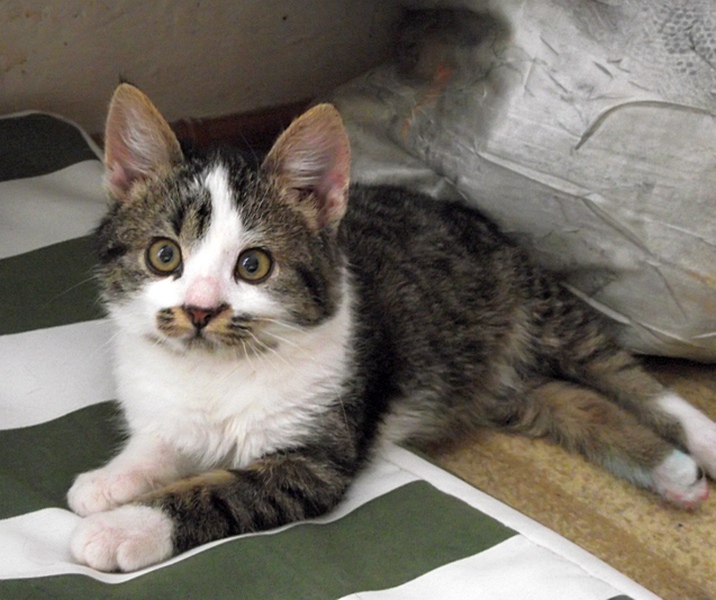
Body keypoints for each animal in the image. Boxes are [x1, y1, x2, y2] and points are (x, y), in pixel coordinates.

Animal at [68, 83, 716, 572]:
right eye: (164, 256)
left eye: (253, 266)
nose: (201, 310)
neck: (216, 368)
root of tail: (476, 218)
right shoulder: (170, 401)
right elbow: (162, 443)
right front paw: (112, 480)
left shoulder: (317, 457)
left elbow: (220, 492)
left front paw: (124, 528)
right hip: (492, 376)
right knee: (571, 399)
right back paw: (671, 470)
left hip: (539, 305)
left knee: (622, 374)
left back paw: (697, 442)